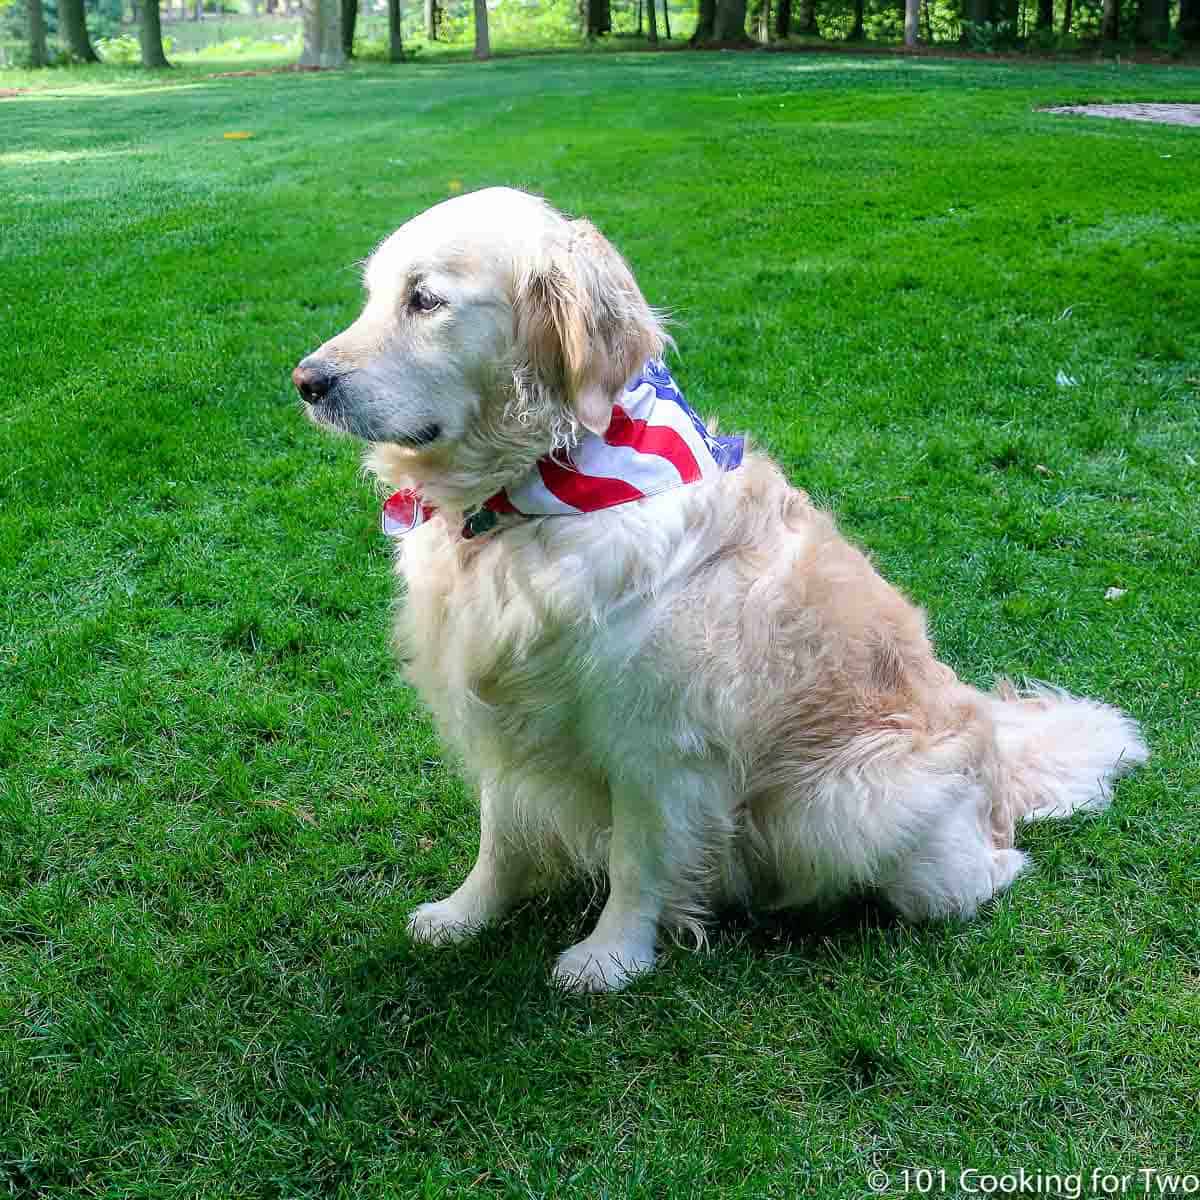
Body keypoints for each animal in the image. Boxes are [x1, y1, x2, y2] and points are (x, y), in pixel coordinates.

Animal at [295, 187, 1147, 993]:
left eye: (425, 300)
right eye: (373, 295)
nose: (306, 382)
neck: (531, 496)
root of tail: (1000, 758)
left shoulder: (659, 743)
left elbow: (638, 859)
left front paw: (611, 957)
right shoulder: (506, 716)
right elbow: (499, 834)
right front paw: (465, 915)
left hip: (848, 804)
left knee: (989, 868)